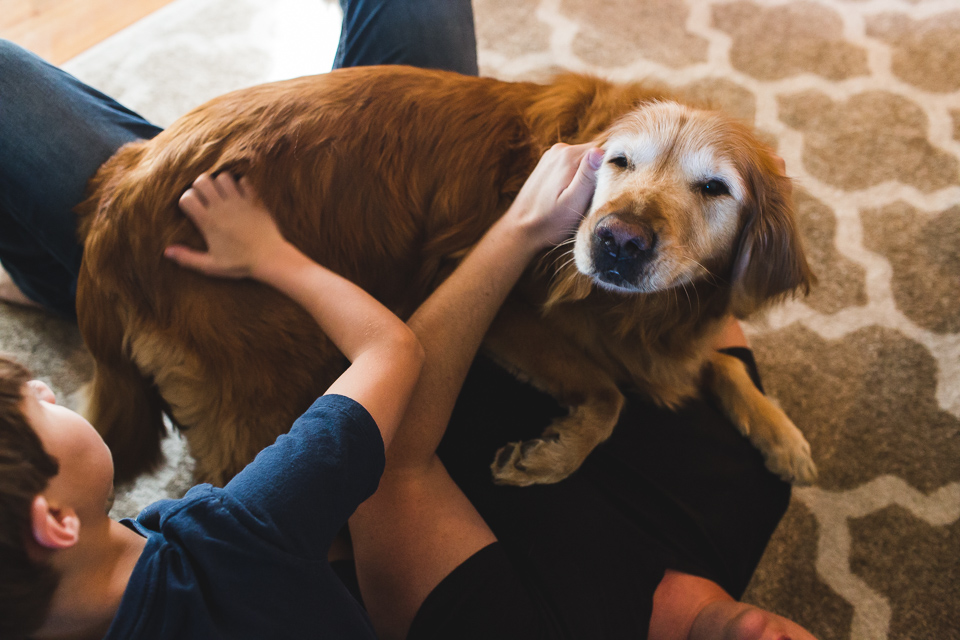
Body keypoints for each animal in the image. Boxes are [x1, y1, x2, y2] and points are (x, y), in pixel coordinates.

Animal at [75, 65, 812, 488]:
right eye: (618, 162)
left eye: (714, 187)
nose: (617, 243)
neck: (642, 315)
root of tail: (118, 195)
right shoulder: (510, 319)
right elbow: (609, 396)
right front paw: (550, 456)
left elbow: (724, 359)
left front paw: (780, 433)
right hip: (266, 375)